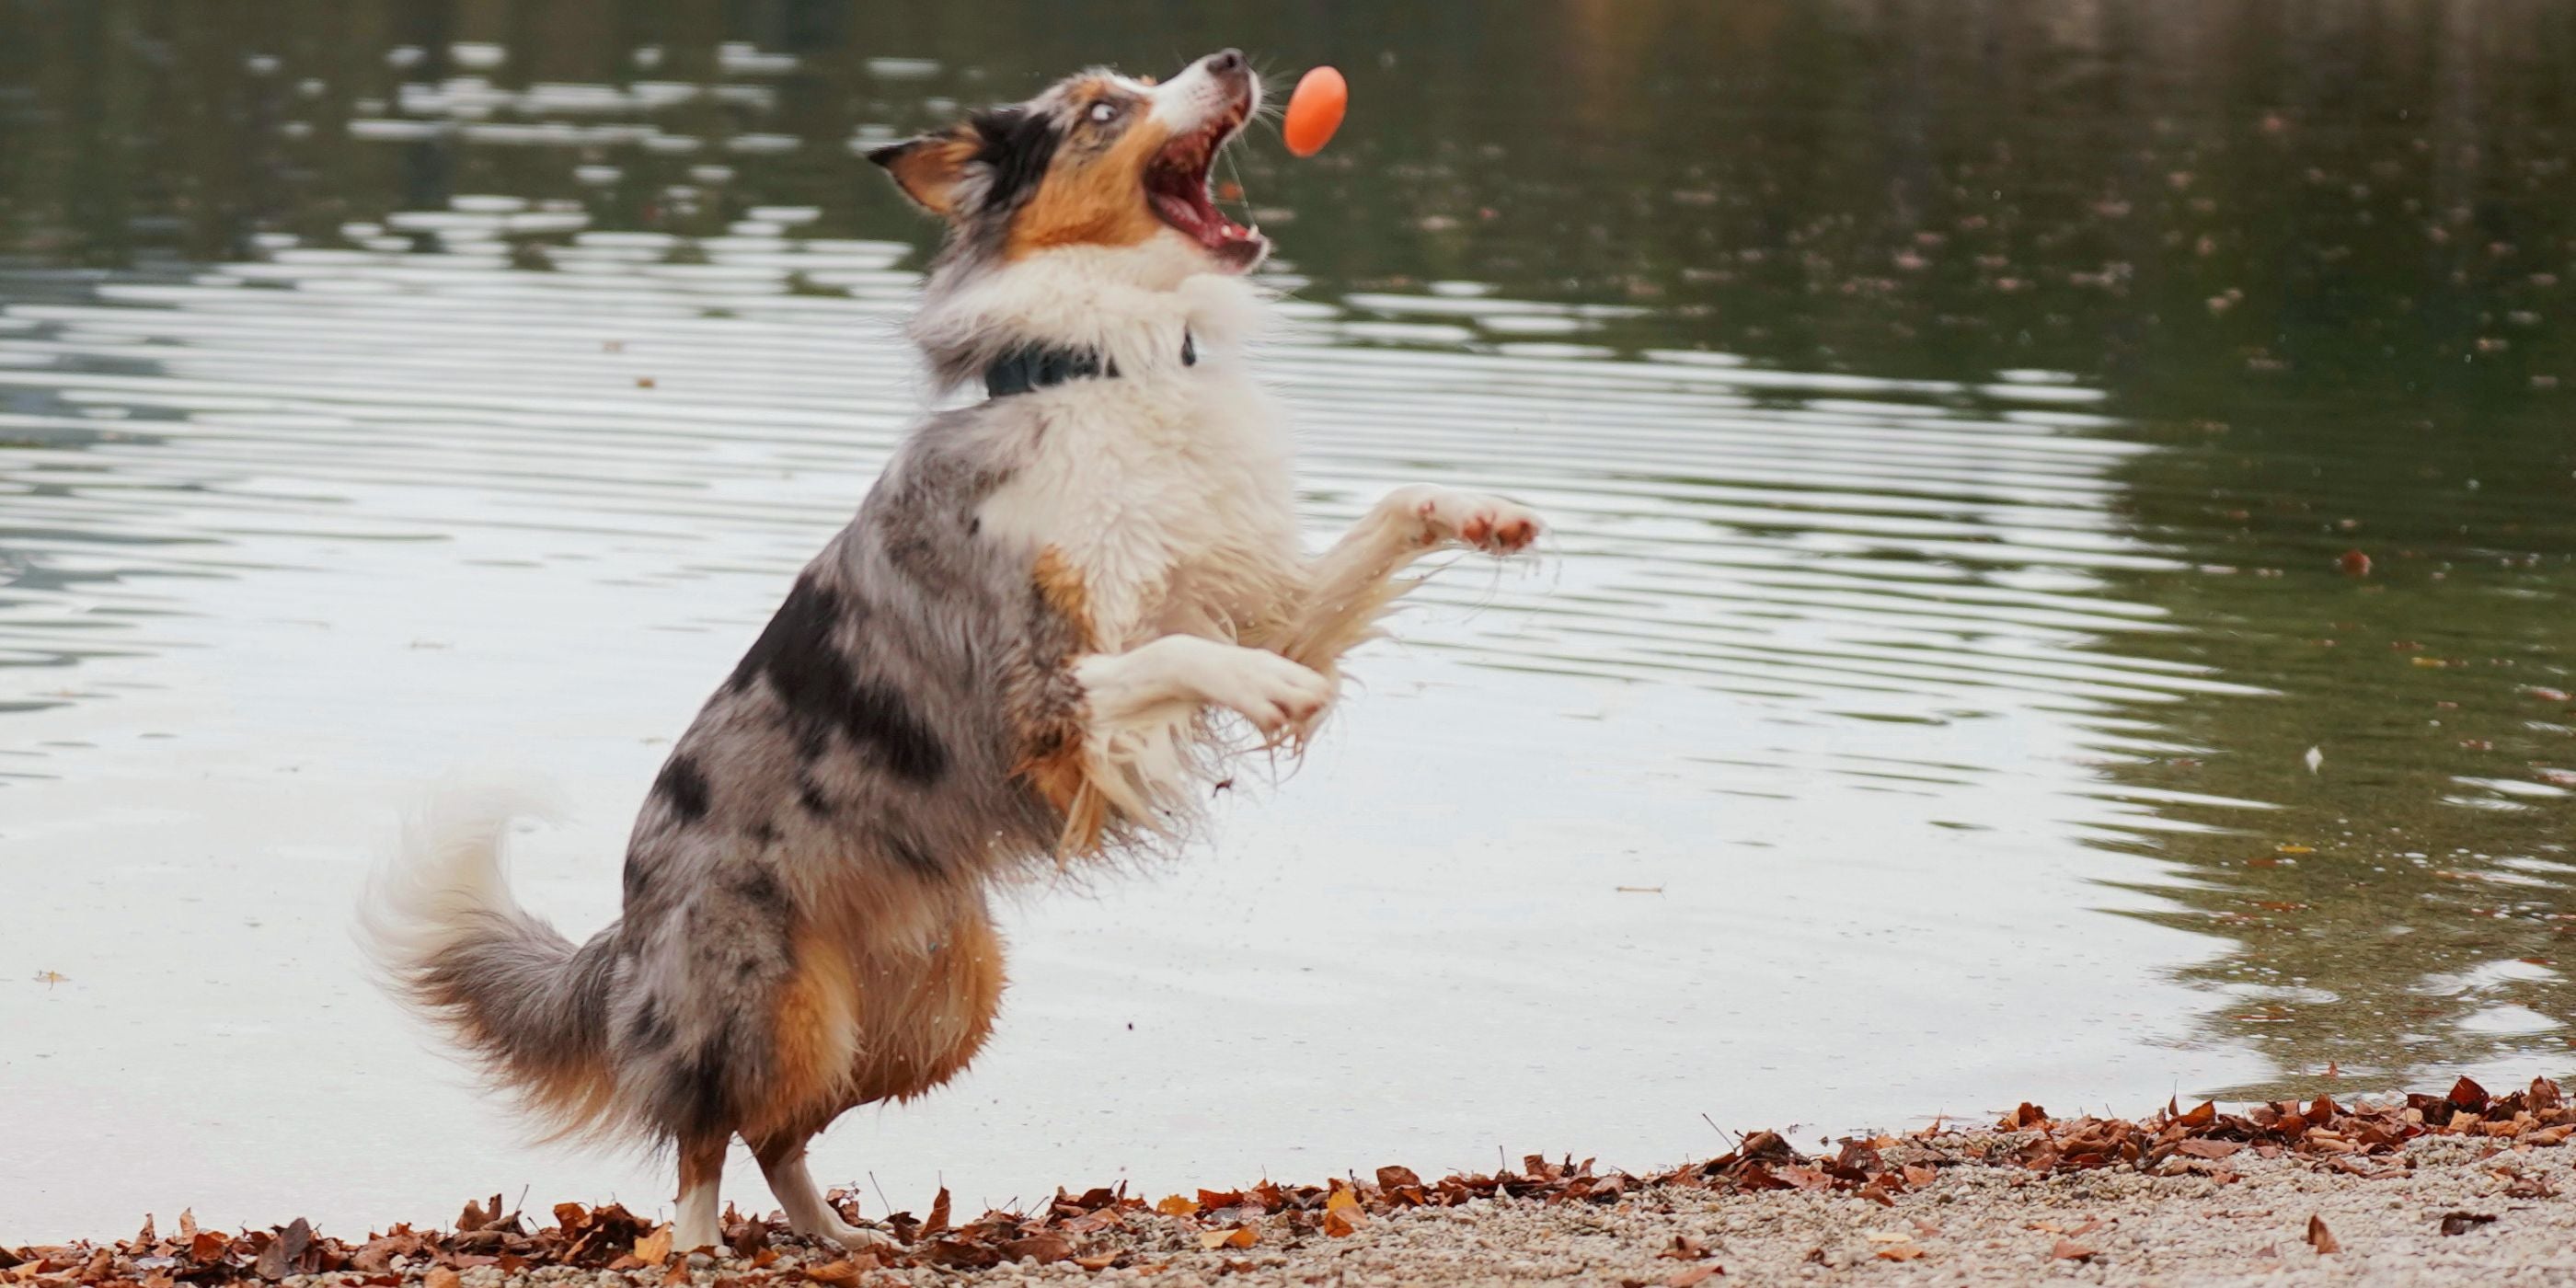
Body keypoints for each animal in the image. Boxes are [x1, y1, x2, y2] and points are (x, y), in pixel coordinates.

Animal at [358, 47, 1524, 1247]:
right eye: (1103, 109)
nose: (1231, 60)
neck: (1101, 366)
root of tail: (627, 932)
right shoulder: (1034, 695)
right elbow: (1170, 660)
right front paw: (1268, 685)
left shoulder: (1234, 599)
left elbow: (1370, 527)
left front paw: (1478, 512)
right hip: (765, 996)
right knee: (701, 1125)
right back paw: (695, 1244)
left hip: (936, 1003)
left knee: (781, 1127)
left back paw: (837, 1237)